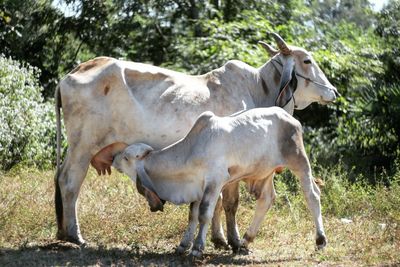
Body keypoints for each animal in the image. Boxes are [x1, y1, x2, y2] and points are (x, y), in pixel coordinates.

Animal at [97, 107, 324, 258]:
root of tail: (289, 117)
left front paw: (197, 248)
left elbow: (205, 213)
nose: (114, 158)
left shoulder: (215, 181)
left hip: (298, 160)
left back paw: (320, 240)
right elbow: (192, 214)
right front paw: (183, 245)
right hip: (264, 173)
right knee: (266, 199)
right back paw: (245, 240)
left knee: (312, 195)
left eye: (127, 157)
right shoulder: (198, 186)